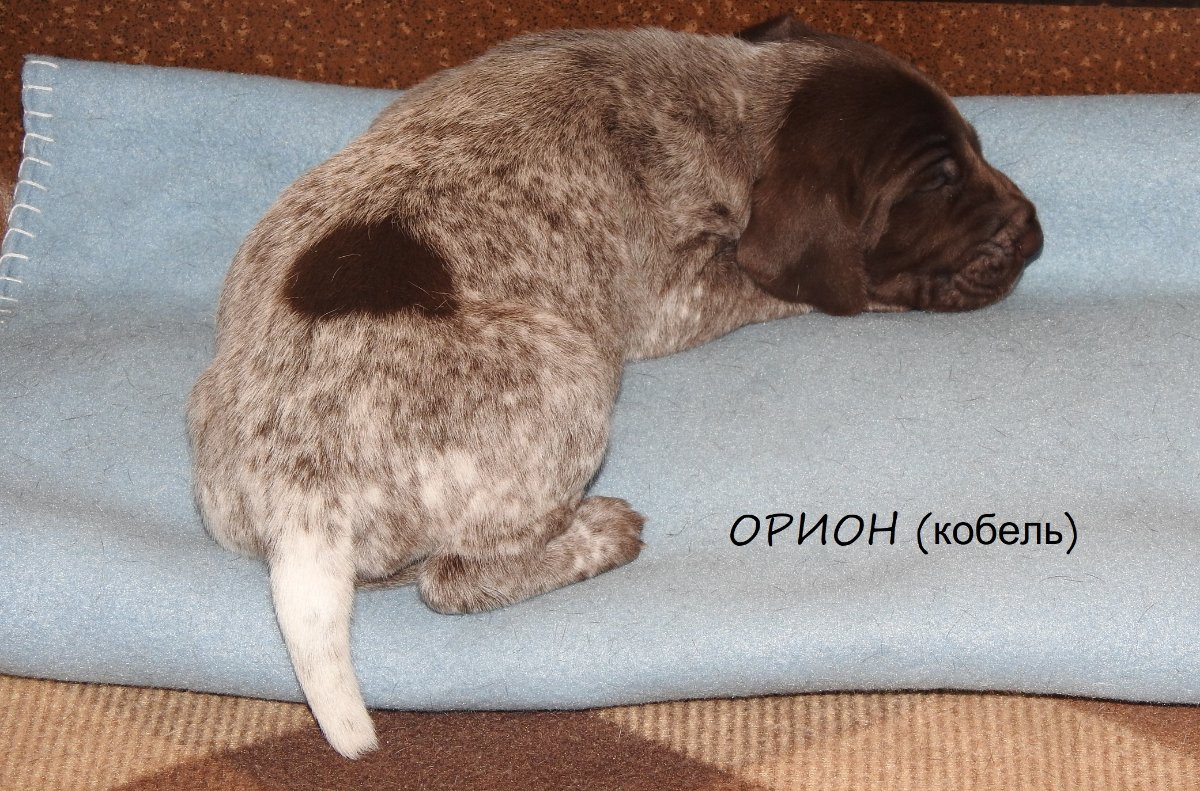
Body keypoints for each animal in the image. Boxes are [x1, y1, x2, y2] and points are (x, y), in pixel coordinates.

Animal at [187, 15, 1042, 758]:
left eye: (974, 151)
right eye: (936, 183)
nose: (1035, 234)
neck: (729, 97)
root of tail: (304, 507)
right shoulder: (677, 298)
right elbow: (806, 286)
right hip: (571, 378)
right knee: (453, 578)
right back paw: (594, 534)